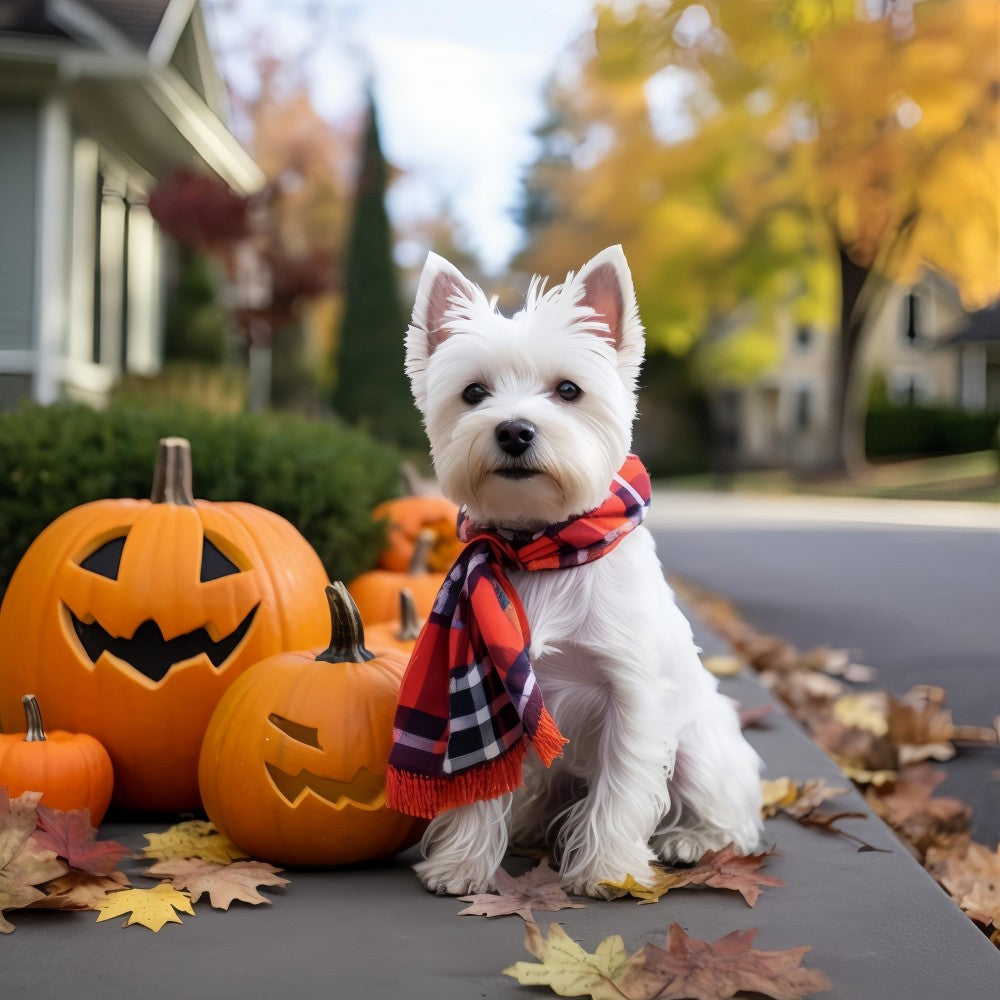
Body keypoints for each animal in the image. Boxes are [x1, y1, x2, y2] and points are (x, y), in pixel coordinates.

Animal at [388, 244, 756, 900]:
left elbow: (623, 789)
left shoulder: (630, 694)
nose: (514, 429)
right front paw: (461, 865)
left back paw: (688, 840)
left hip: (702, 746)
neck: (540, 546)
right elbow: (481, 779)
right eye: (473, 392)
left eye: (568, 390)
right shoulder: (494, 685)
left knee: (731, 818)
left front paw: (608, 871)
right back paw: (534, 824)